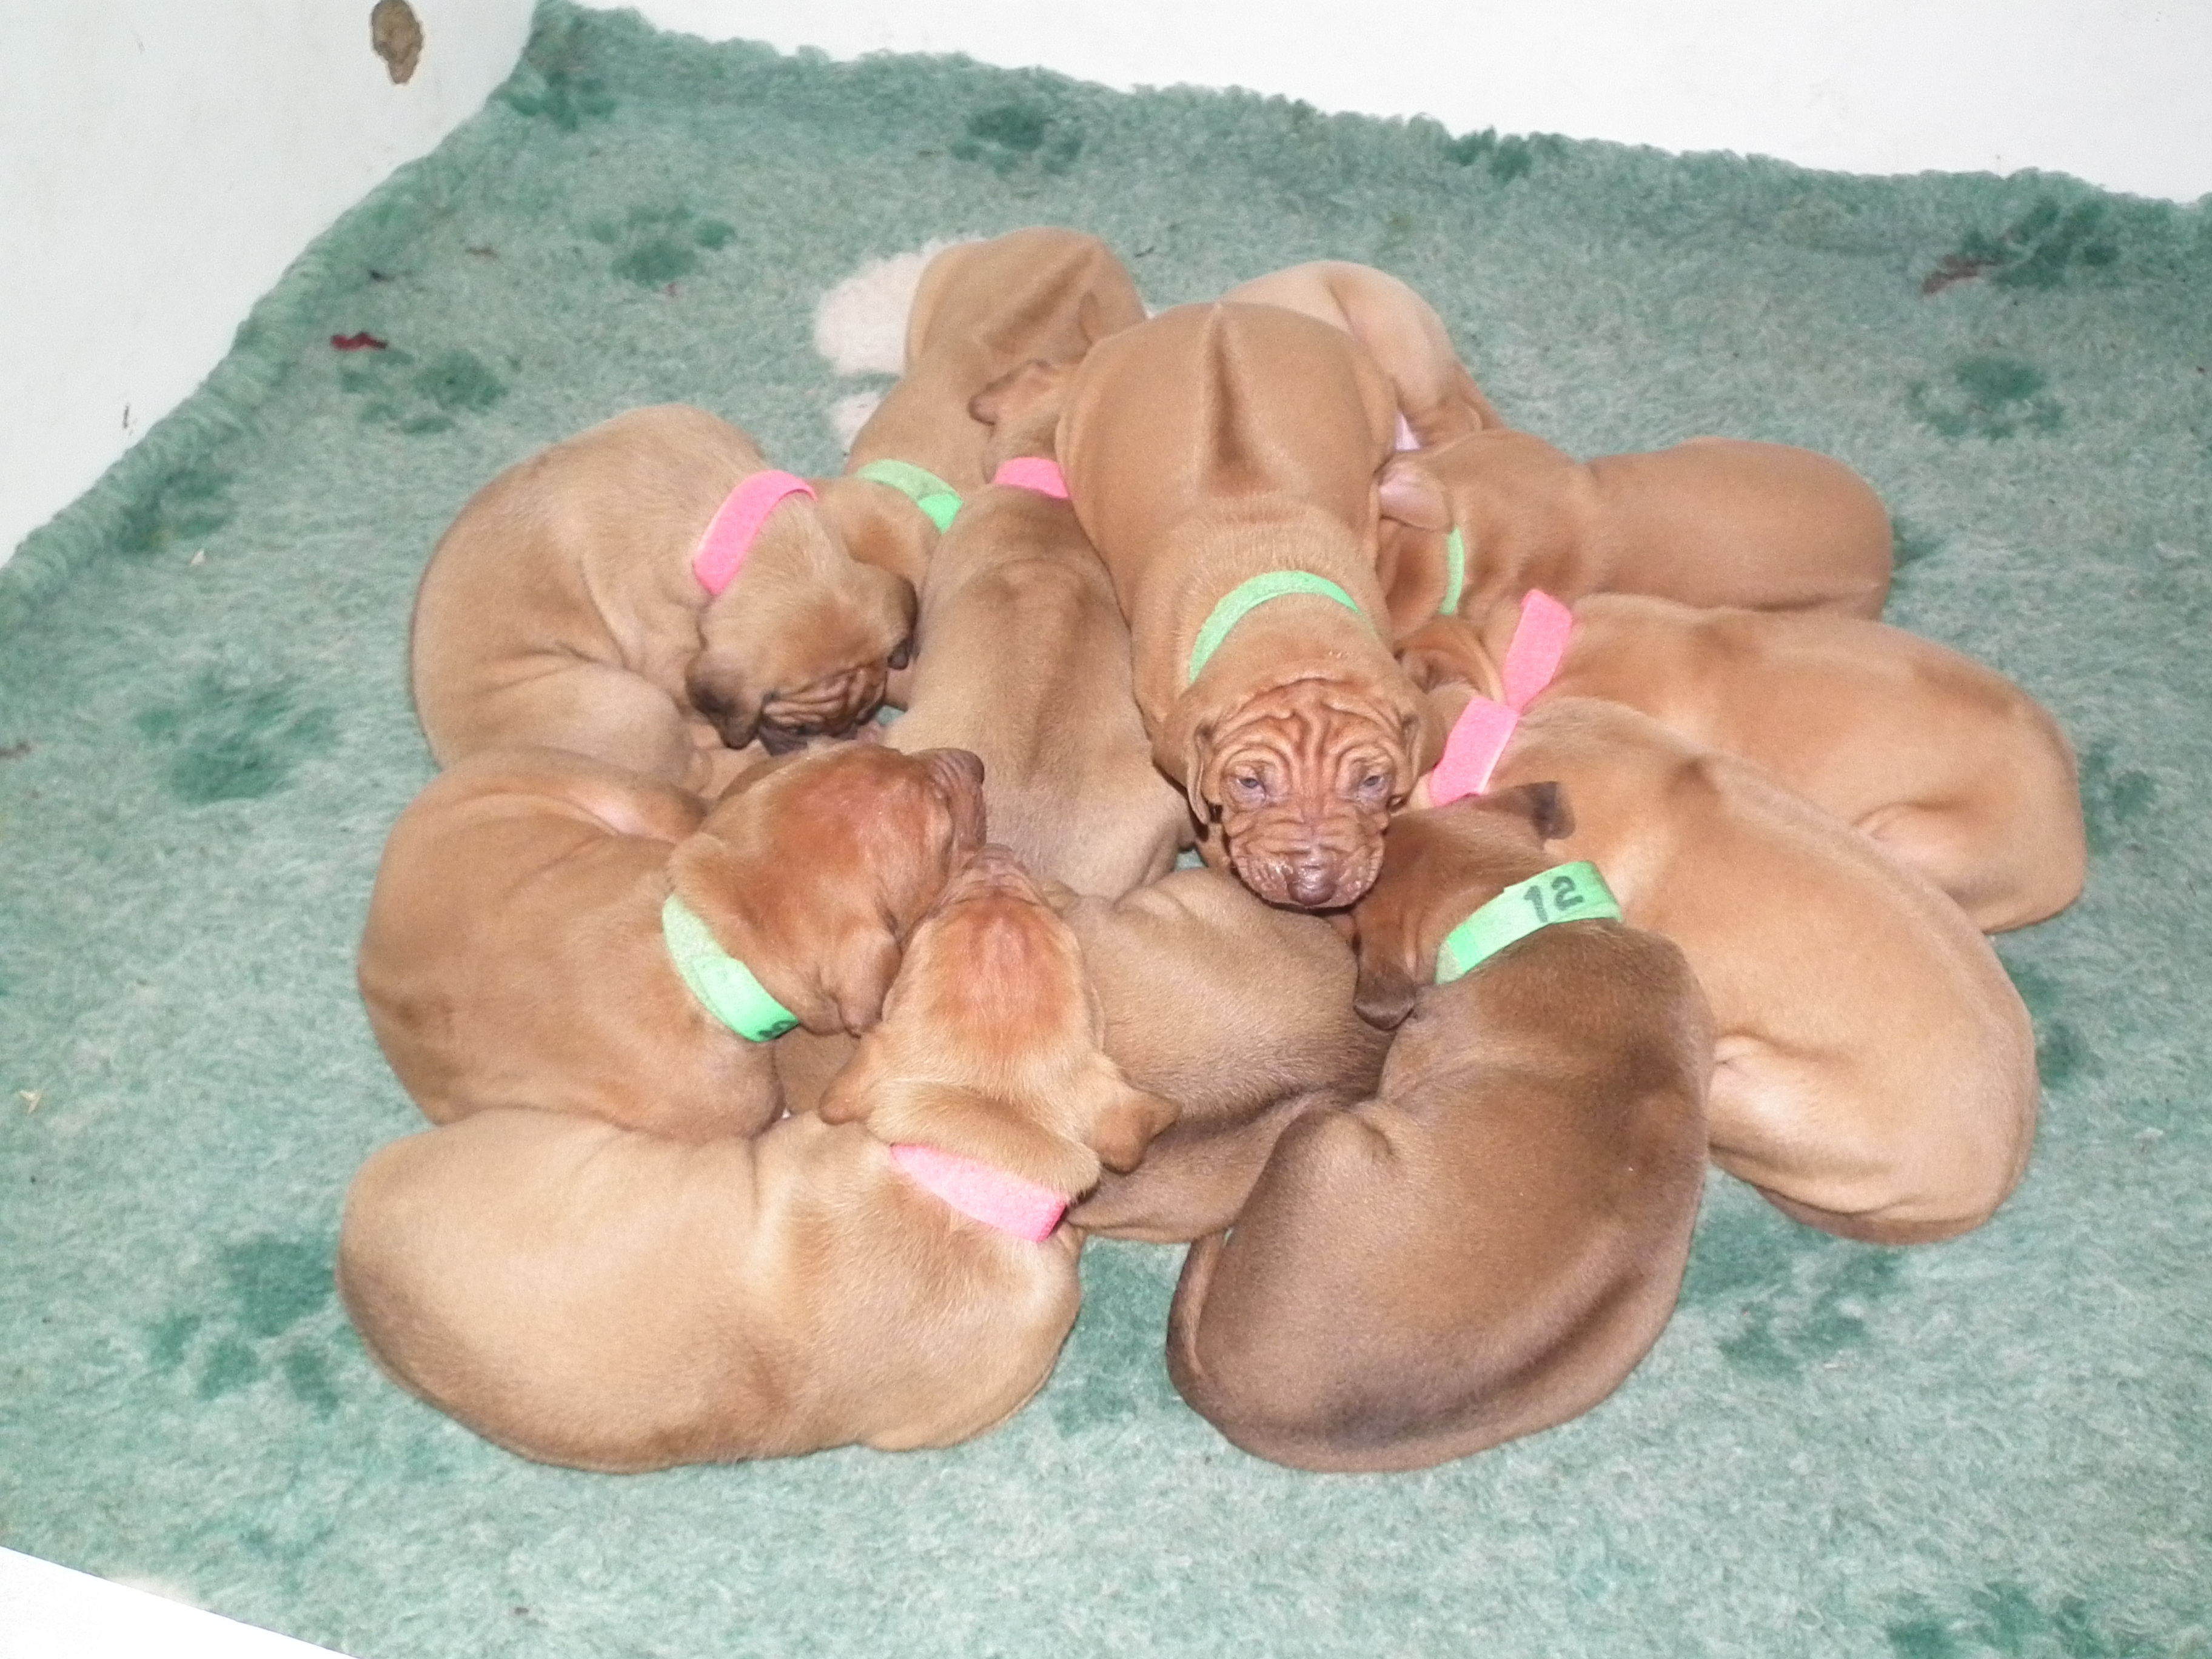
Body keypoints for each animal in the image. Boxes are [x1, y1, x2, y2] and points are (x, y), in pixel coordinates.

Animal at [412, 405, 915, 795]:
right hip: (630, 707)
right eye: (797, 728)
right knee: (698, 774)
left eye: (866, 705)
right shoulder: (666, 654)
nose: (845, 732)